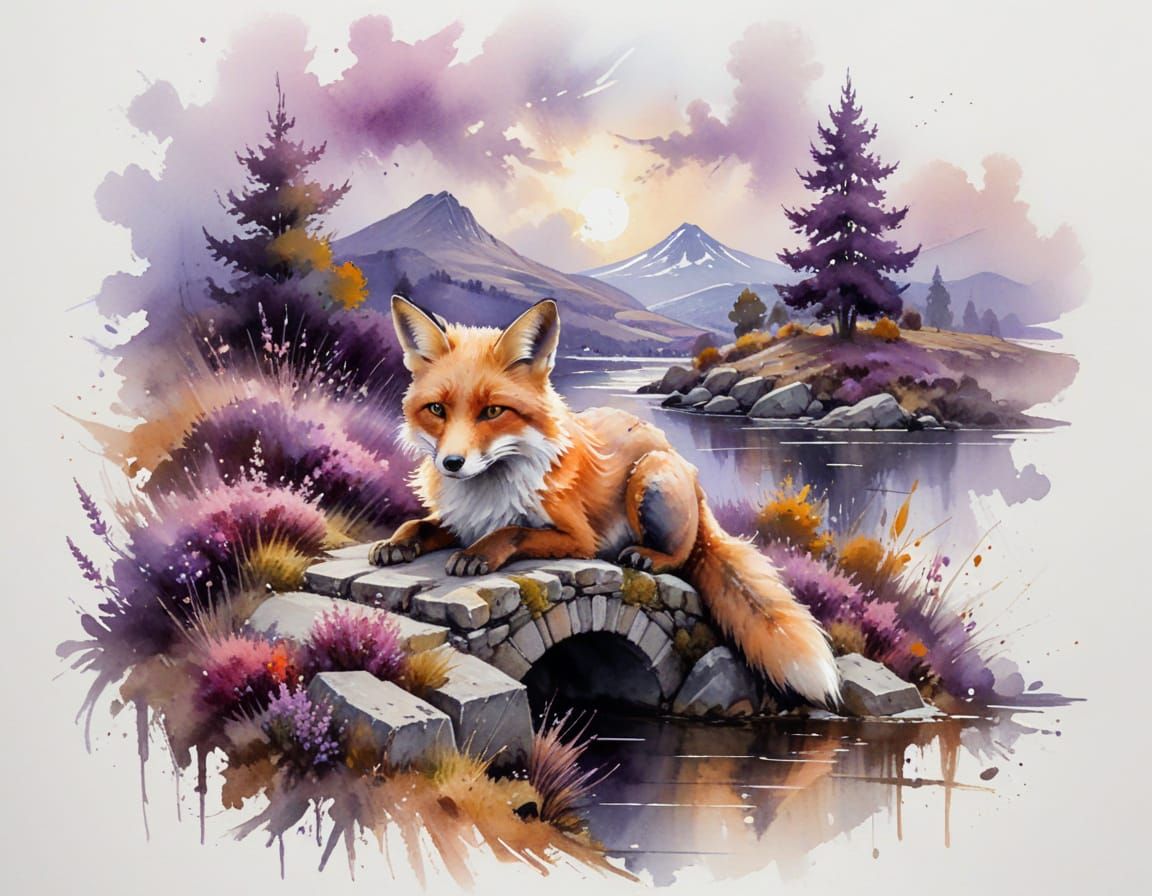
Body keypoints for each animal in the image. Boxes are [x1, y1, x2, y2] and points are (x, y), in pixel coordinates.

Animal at [370, 295, 839, 706]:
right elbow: (420, 524)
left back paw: (648, 556)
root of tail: (684, 464)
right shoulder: (460, 519)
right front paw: (396, 543)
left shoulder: (578, 538)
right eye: (437, 410)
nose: (452, 463)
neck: (490, 488)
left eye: (492, 412)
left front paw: (477, 555)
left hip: (648, 478)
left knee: (686, 554)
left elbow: (513, 531)